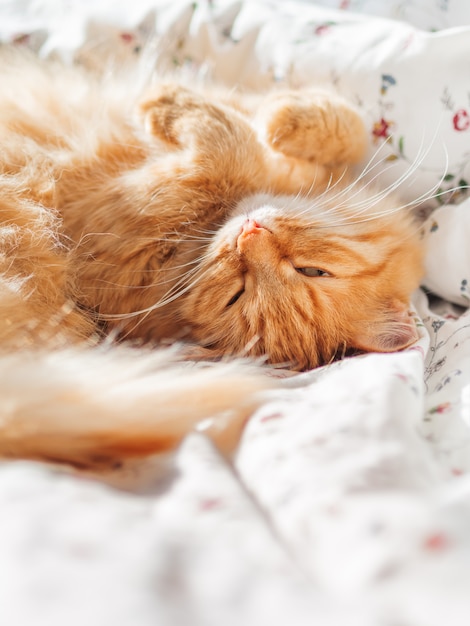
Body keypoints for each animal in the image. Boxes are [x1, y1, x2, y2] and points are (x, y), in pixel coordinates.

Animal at [0, 52, 422, 464]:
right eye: (313, 271)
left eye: (236, 294)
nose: (249, 234)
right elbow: (347, 128)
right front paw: (281, 120)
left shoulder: (111, 239)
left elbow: (229, 155)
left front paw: (166, 101)